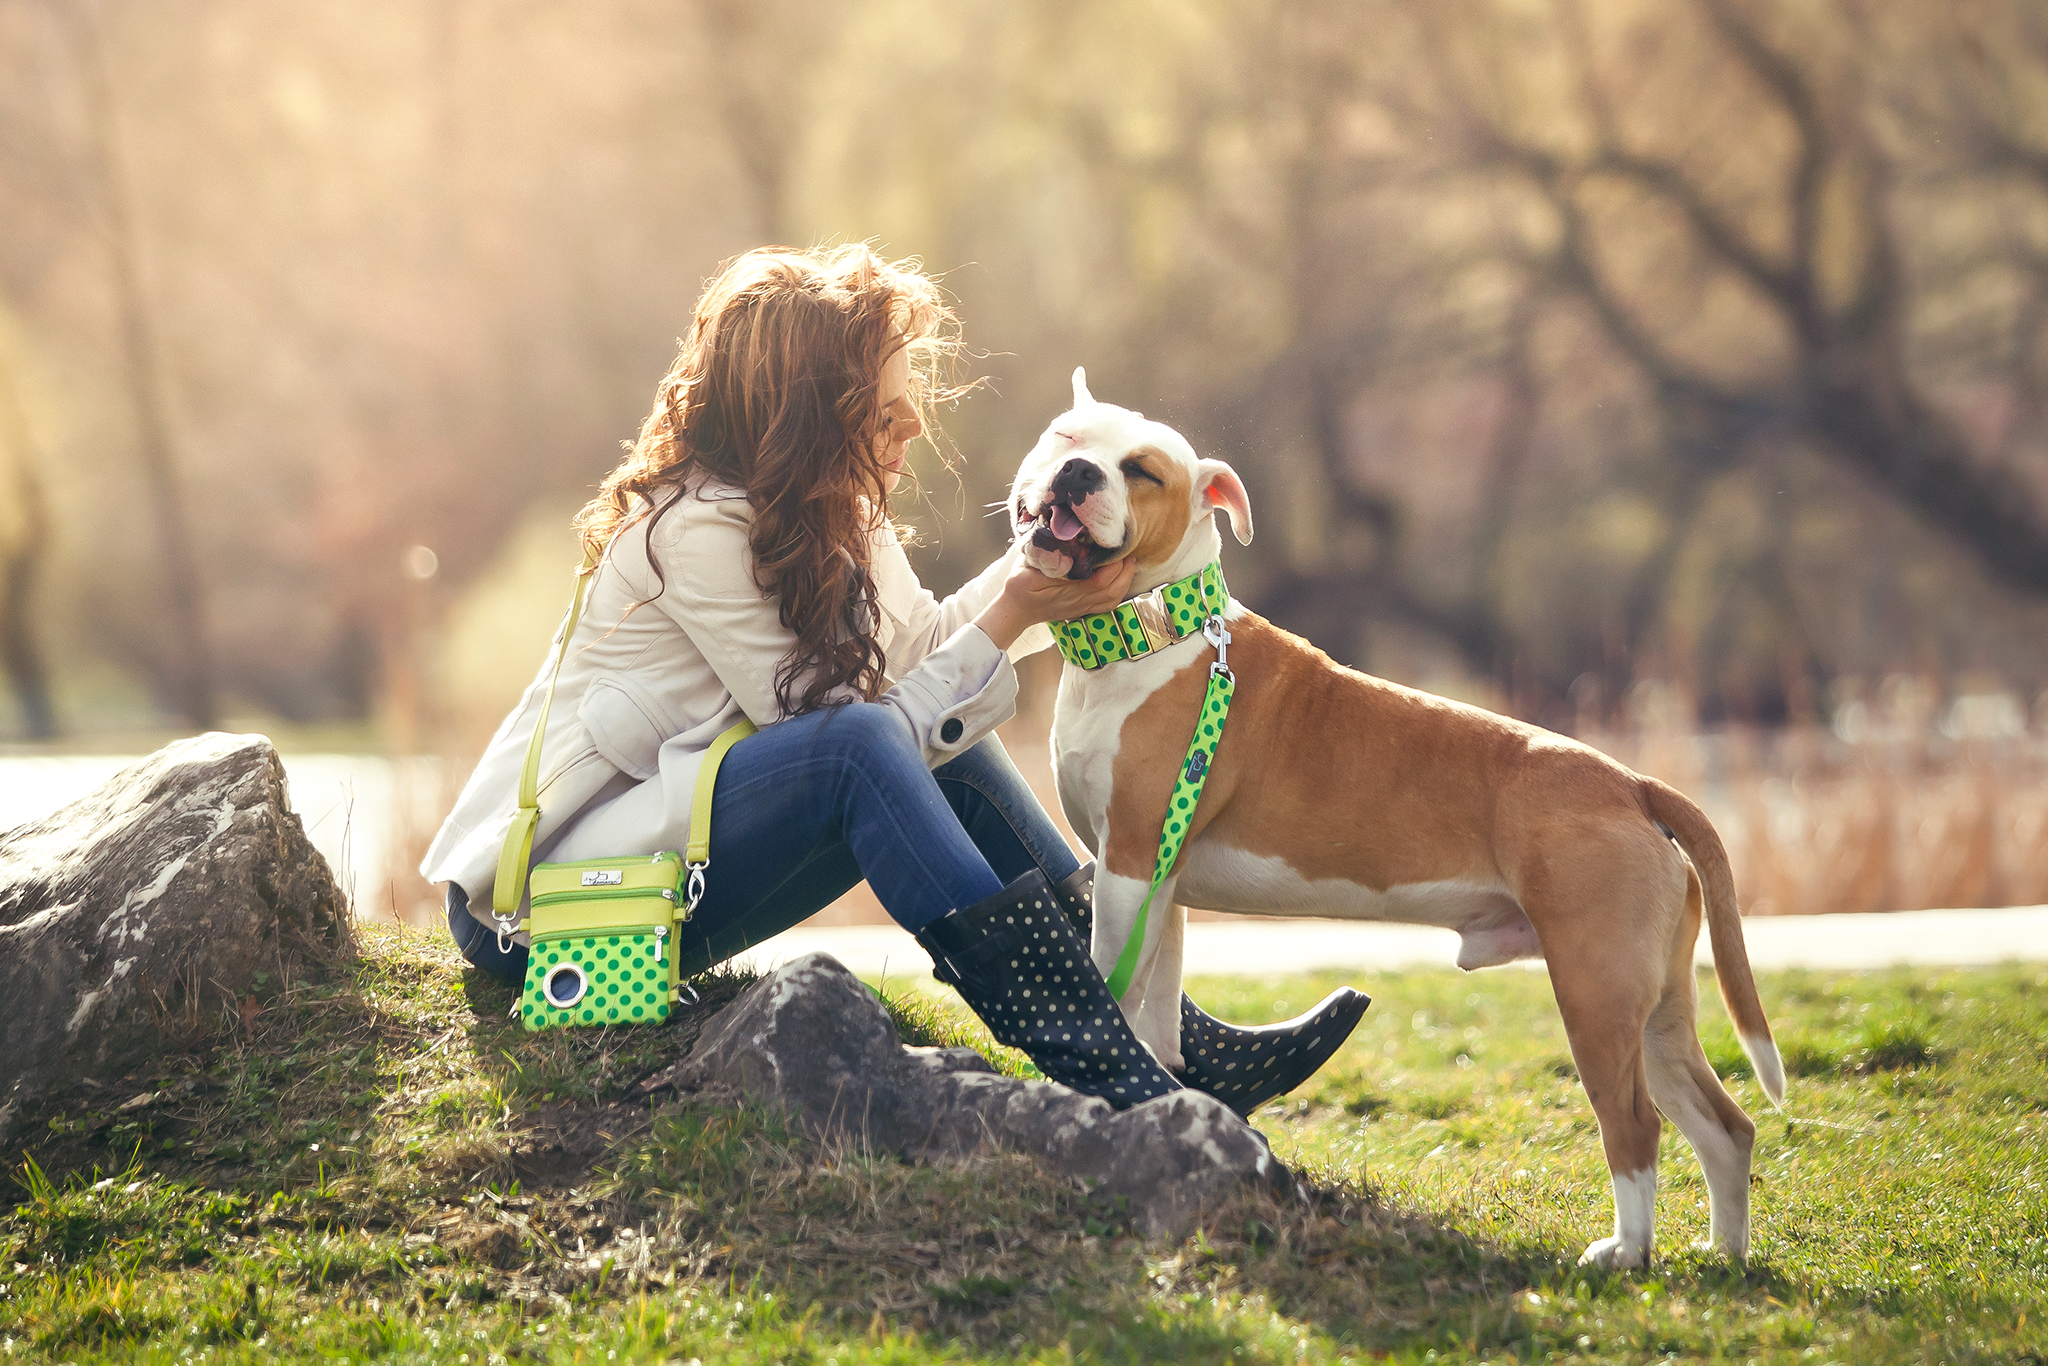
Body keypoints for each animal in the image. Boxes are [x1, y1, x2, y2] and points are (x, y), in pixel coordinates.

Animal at [1015, 366, 1785, 1269]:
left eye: (1141, 470)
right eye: (1066, 438)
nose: (1077, 474)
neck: (1150, 632)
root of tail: (1630, 782)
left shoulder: (1131, 866)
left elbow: (1105, 980)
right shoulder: (1158, 885)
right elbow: (1154, 1018)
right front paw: (1154, 1098)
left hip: (1594, 988)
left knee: (1634, 1124)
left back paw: (1624, 1255)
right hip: (1657, 1005)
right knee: (1724, 1124)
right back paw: (1724, 1256)